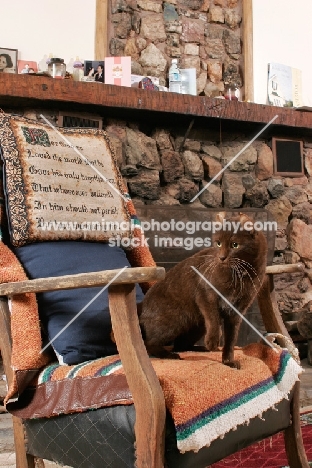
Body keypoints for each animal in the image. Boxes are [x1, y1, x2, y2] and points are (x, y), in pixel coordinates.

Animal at [139, 212, 268, 370]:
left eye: (234, 245)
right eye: (218, 243)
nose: (221, 257)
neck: (241, 275)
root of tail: (141, 309)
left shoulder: (237, 310)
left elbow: (231, 339)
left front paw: (228, 361)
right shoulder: (205, 294)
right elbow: (213, 318)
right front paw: (213, 341)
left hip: (197, 325)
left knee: (181, 345)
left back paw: (201, 349)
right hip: (174, 321)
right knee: (150, 343)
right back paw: (170, 355)